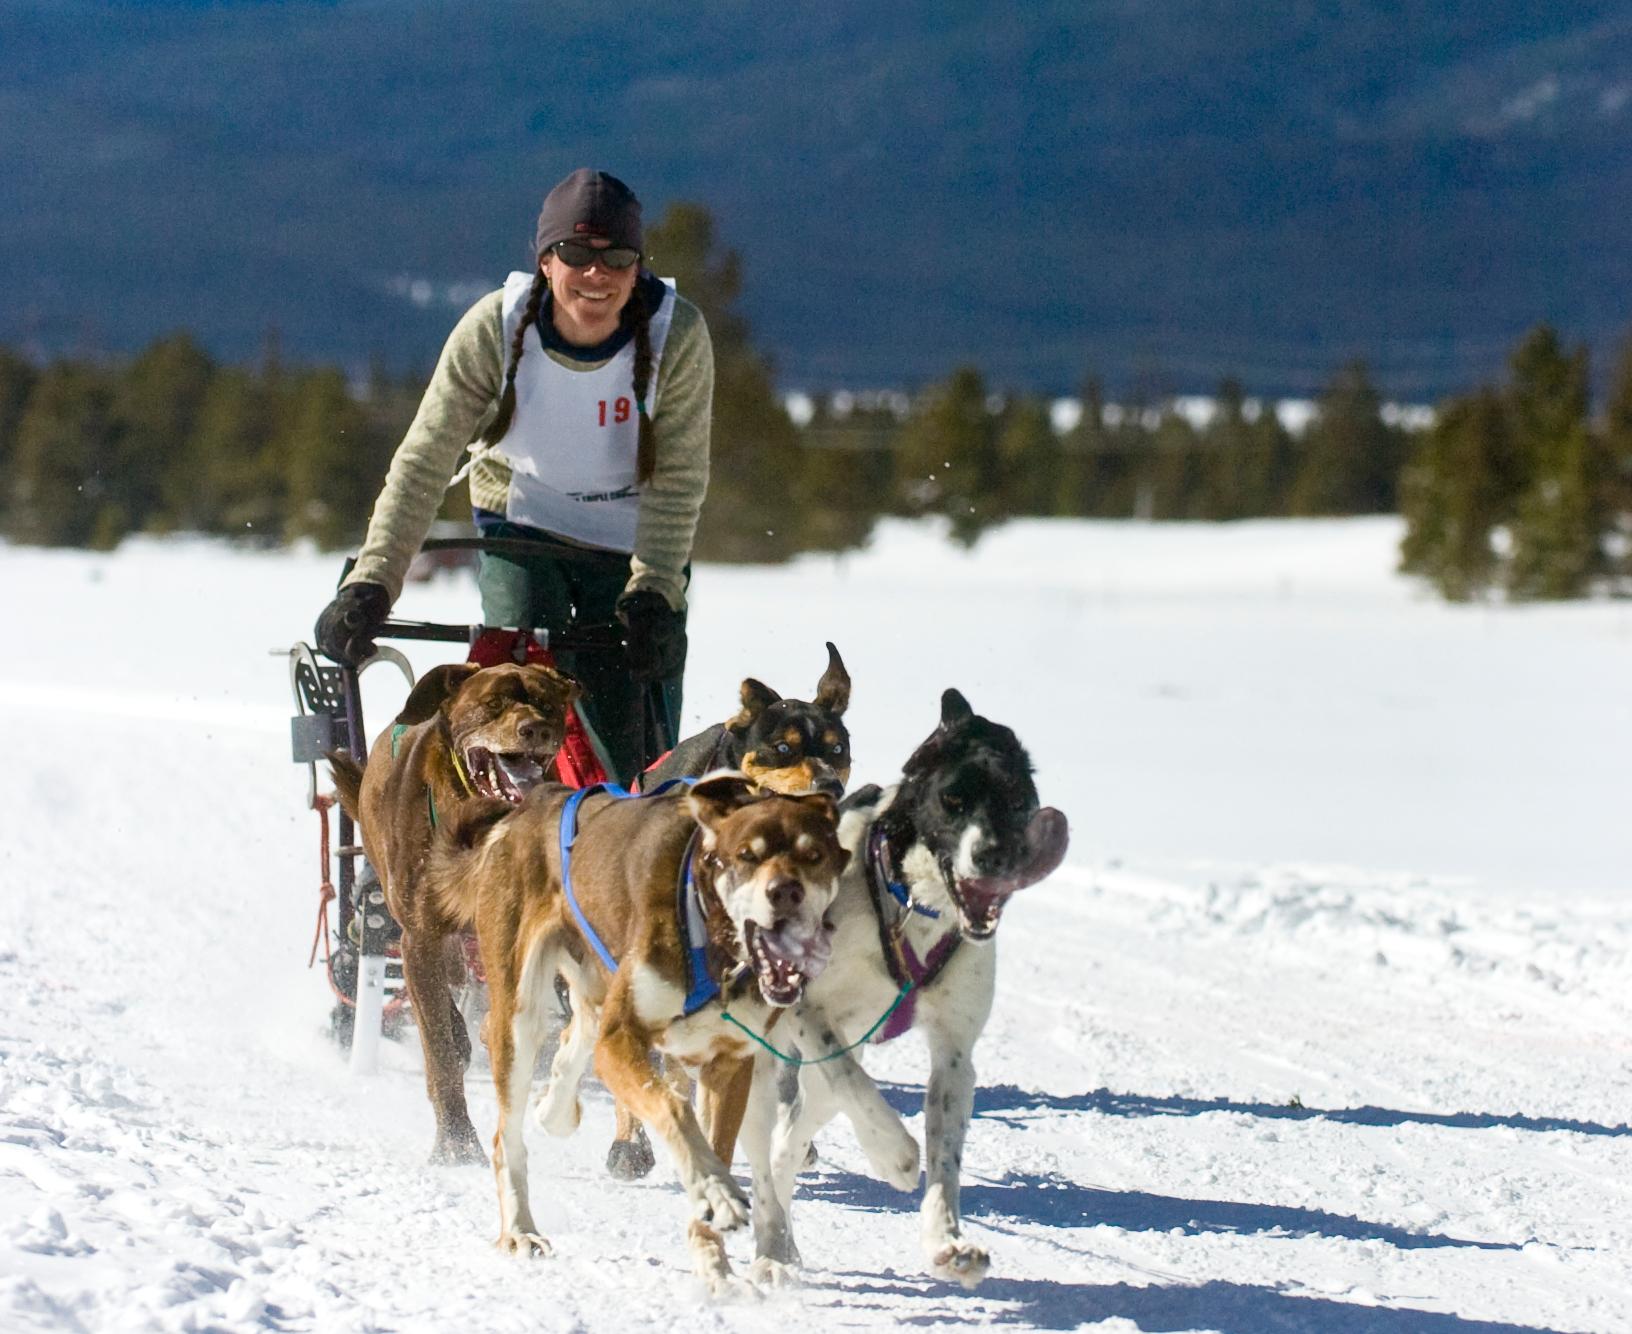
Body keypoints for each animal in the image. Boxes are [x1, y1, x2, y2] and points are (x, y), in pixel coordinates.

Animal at [329, 659, 580, 1162]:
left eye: (546, 703)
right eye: (493, 703)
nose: (535, 729)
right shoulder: (420, 935)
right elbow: (440, 1051)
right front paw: (457, 1143)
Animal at [427, 770, 848, 1293]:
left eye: (814, 856)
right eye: (746, 855)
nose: (785, 892)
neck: (709, 934)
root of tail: (530, 805)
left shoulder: (728, 1064)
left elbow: (717, 1148)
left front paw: (714, 1260)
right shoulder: (622, 1040)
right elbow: (674, 1109)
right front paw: (717, 1194)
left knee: (578, 1036)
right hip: (518, 1014)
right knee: (509, 1136)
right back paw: (521, 1229)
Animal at [737, 685, 1070, 1280]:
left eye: (1015, 800)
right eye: (952, 800)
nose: (993, 855)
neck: (913, 907)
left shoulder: (955, 1053)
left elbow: (946, 1160)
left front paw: (947, 1241)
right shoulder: (806, 1010)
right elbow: (861, 1091)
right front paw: (894, 1156)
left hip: (820, 1076)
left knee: (787, 1143)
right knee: (764, 1152)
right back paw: (770, 1246)